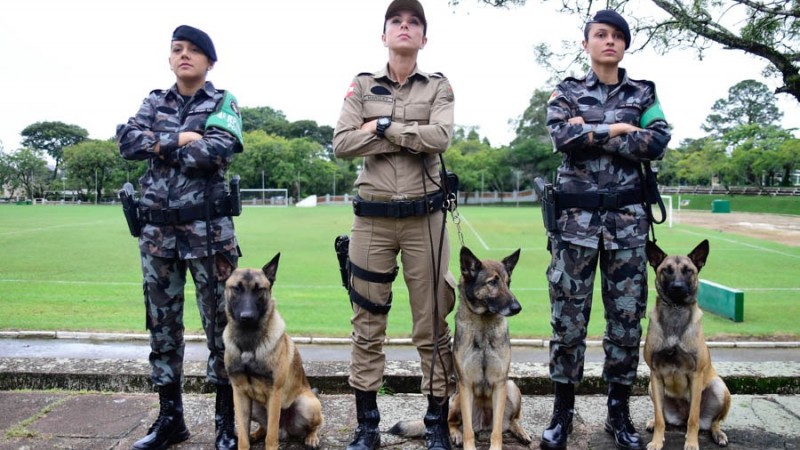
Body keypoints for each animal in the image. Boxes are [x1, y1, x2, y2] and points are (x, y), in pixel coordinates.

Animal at [220, 253, 324, 450]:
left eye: (259, 290)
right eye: (236, 289)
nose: (246, 317)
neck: (249, 343)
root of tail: (287, 431)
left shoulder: (274, 393)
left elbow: (271, 437)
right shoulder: (239, 394)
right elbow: (243, 434)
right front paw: (245, 441)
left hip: (307, 404)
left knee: (311, 426)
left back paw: (311, 438)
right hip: (255, 405)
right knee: (262, 428)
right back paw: (254, 434)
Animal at [388, 246, 532, 450]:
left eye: (508, 282)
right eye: (492, 282)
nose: (517, 307)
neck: (483, 327)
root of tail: (483, 425)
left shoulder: (499, 383)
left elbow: (497, 432)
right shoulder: (465, 385)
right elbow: (468, 432)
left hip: (511, 388)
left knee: (510, 422)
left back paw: (521, 432)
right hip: (456, 399)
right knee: (451, 422)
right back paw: (454, 435)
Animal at [644, 239, 732, 450]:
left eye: (688, 271)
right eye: (666, 270)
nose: (677, 287)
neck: (675, 312)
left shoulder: (695, 375)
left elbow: (694, 419)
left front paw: (691, 443)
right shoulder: (655, 374)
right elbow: (660, 418)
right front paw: (657, 442)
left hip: (719, 387)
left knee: (711, 421)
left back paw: (718, 434)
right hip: (652, 387)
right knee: (662, 416)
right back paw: (652, 422)